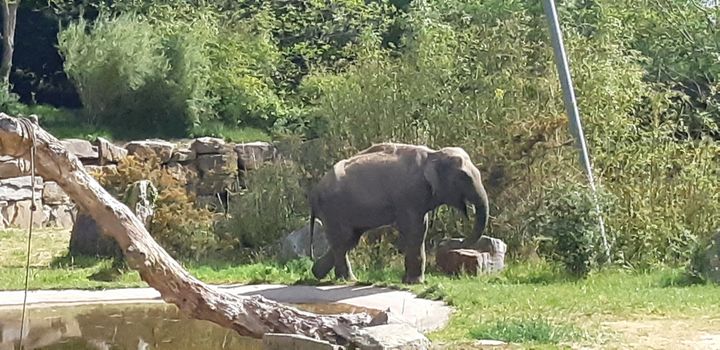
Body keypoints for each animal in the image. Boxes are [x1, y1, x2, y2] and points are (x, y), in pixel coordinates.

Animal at [306, 142, 492, 284]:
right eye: (464, 177)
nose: (455, 242)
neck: (433, 155)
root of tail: (314, 193)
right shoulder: (410, 193)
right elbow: (415, 229)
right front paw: (414, 282)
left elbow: (420, 227)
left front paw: (411, 281)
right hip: (334, 208)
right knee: (344, 239)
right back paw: (347, 279)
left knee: (349, 240)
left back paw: (320, 274)